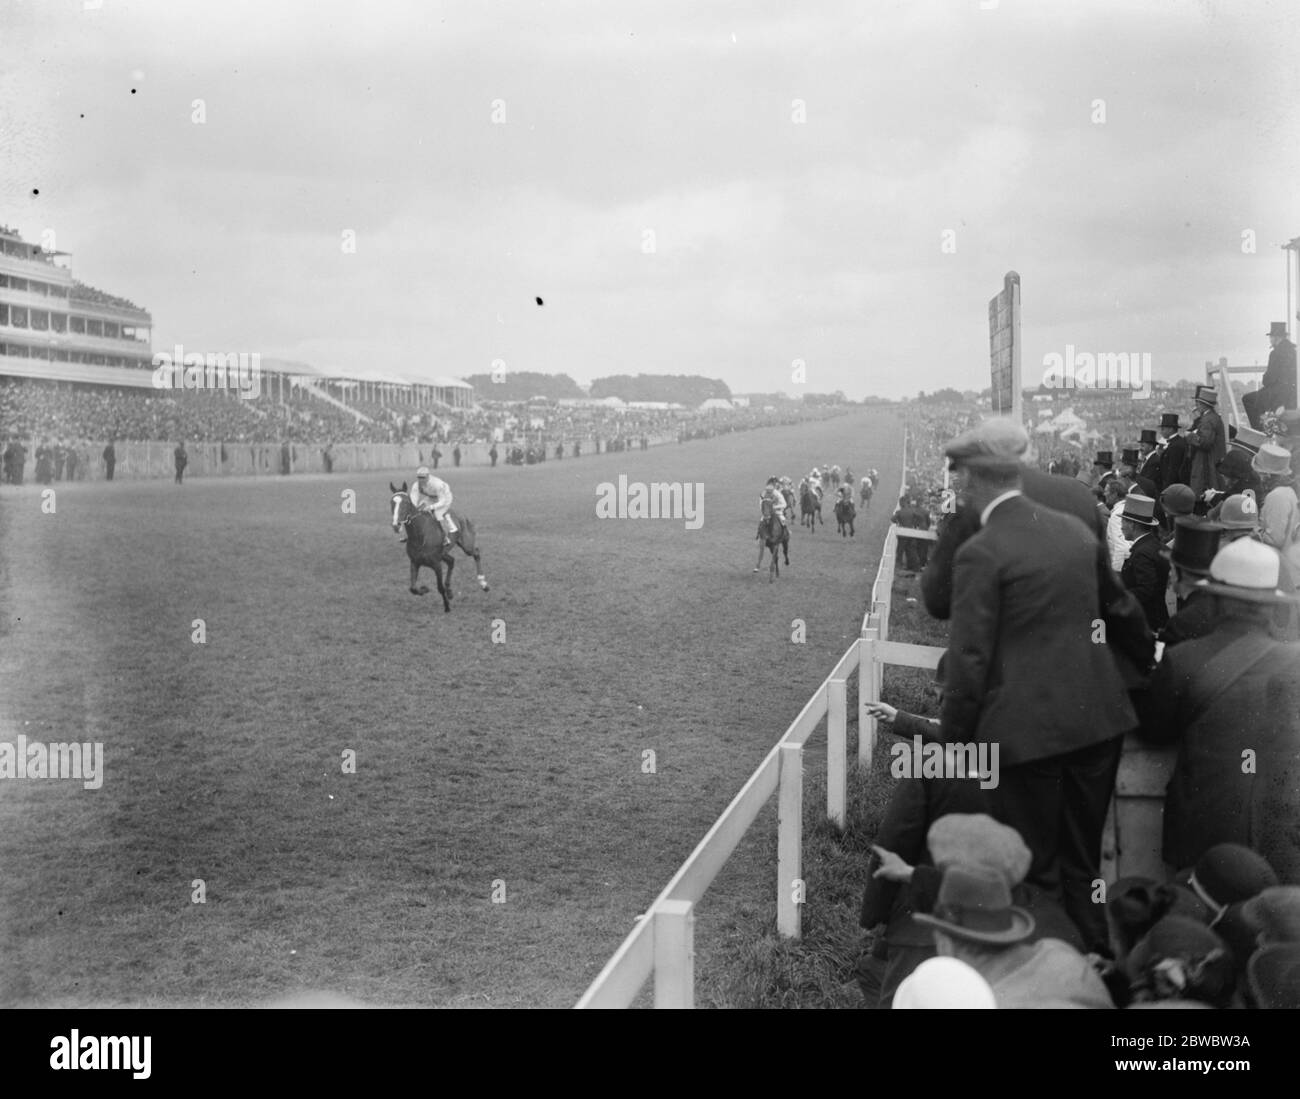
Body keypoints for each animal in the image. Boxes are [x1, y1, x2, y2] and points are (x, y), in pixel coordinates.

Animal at [387, 483, 488, 613]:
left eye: (406, 502)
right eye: (391, 502)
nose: (396, 525)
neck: (420, 535)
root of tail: (461, 515)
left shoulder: (436, 564)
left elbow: (440, 587)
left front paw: (447, 607)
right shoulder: (415, 562)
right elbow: (412, 588)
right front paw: (424, 589)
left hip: (466, 545)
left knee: (476, 553)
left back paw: (483, 583)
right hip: (443, 553)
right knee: (451, 561)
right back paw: (450, 590)